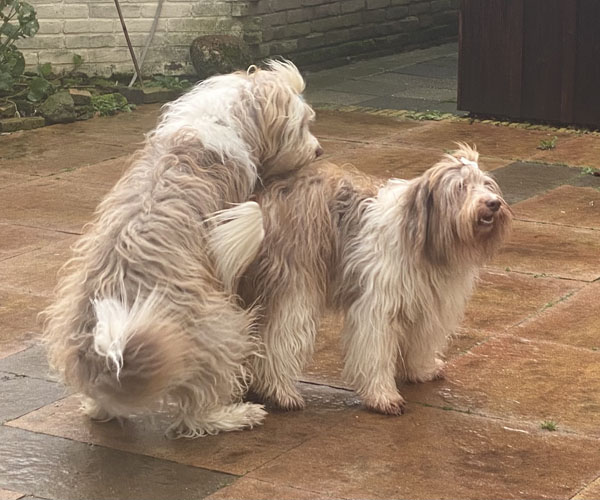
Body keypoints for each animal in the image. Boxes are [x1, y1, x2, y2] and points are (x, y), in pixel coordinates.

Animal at [43, 60, 323, 438]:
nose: (318, 150)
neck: (225, 120)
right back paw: (236, 414)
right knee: (195, 412)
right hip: (220, 330)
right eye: (302, 125)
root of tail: (110, 359)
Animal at [239, 144, 512, 415]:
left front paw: (421, 370)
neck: (426, 241)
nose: (493, 203)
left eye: (486, 184)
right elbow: (376, 353)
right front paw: (383, 396)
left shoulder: (429, 303)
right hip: (296, 286)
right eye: (460, 187)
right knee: (278, 339)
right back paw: (281, 392)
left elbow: (421, 341)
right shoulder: (378, 306)